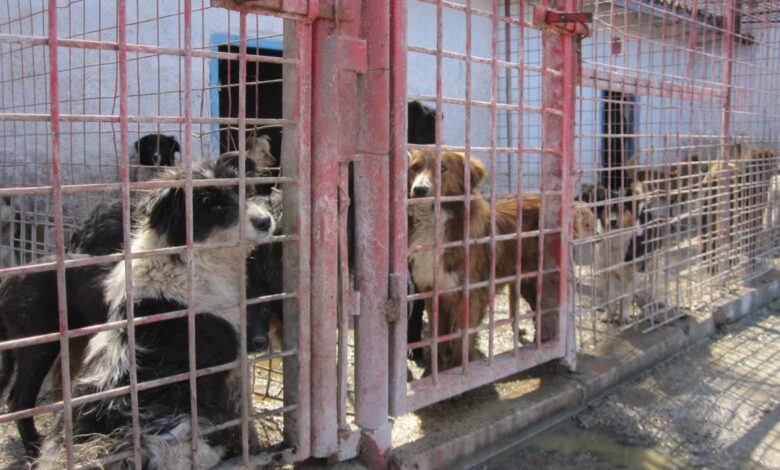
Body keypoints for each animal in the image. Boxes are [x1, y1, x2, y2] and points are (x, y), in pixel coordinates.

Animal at [35, 158, 275, 468]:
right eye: (215, 208)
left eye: (239, 191)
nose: (266, 221)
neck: (186, 258)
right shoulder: (233, 360)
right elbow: (243, 410)